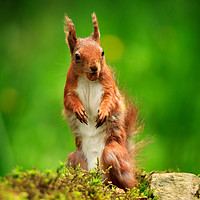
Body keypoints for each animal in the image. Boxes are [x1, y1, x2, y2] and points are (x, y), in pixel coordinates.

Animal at [62, 12, 139, 189]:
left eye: (102, 52)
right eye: (77, 56)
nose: (94, 67)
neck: (88, 79)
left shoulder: (109, 85)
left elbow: (111, 100)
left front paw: (103, 112)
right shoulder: (69, 87)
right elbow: (69, 101)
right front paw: (78, 110)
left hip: (112, 154)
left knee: (128, 184)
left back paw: (119, 188)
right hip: (74, 158)